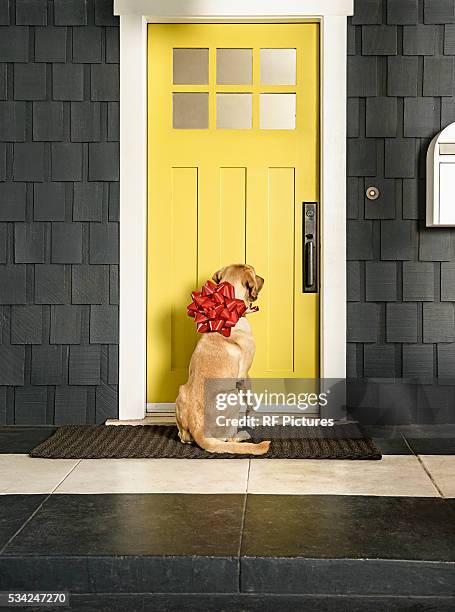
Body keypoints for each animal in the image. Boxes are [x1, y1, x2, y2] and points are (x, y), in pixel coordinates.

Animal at [176, 262, 270, 454]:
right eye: (254, 273)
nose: (263, 278)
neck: (228, 309)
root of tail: (198, 430)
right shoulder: (244, 375)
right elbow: (250, 400)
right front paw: (252, 418)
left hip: (181, 392)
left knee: (184, 438)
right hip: (232, 396)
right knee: (229, 439)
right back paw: (242, 435)